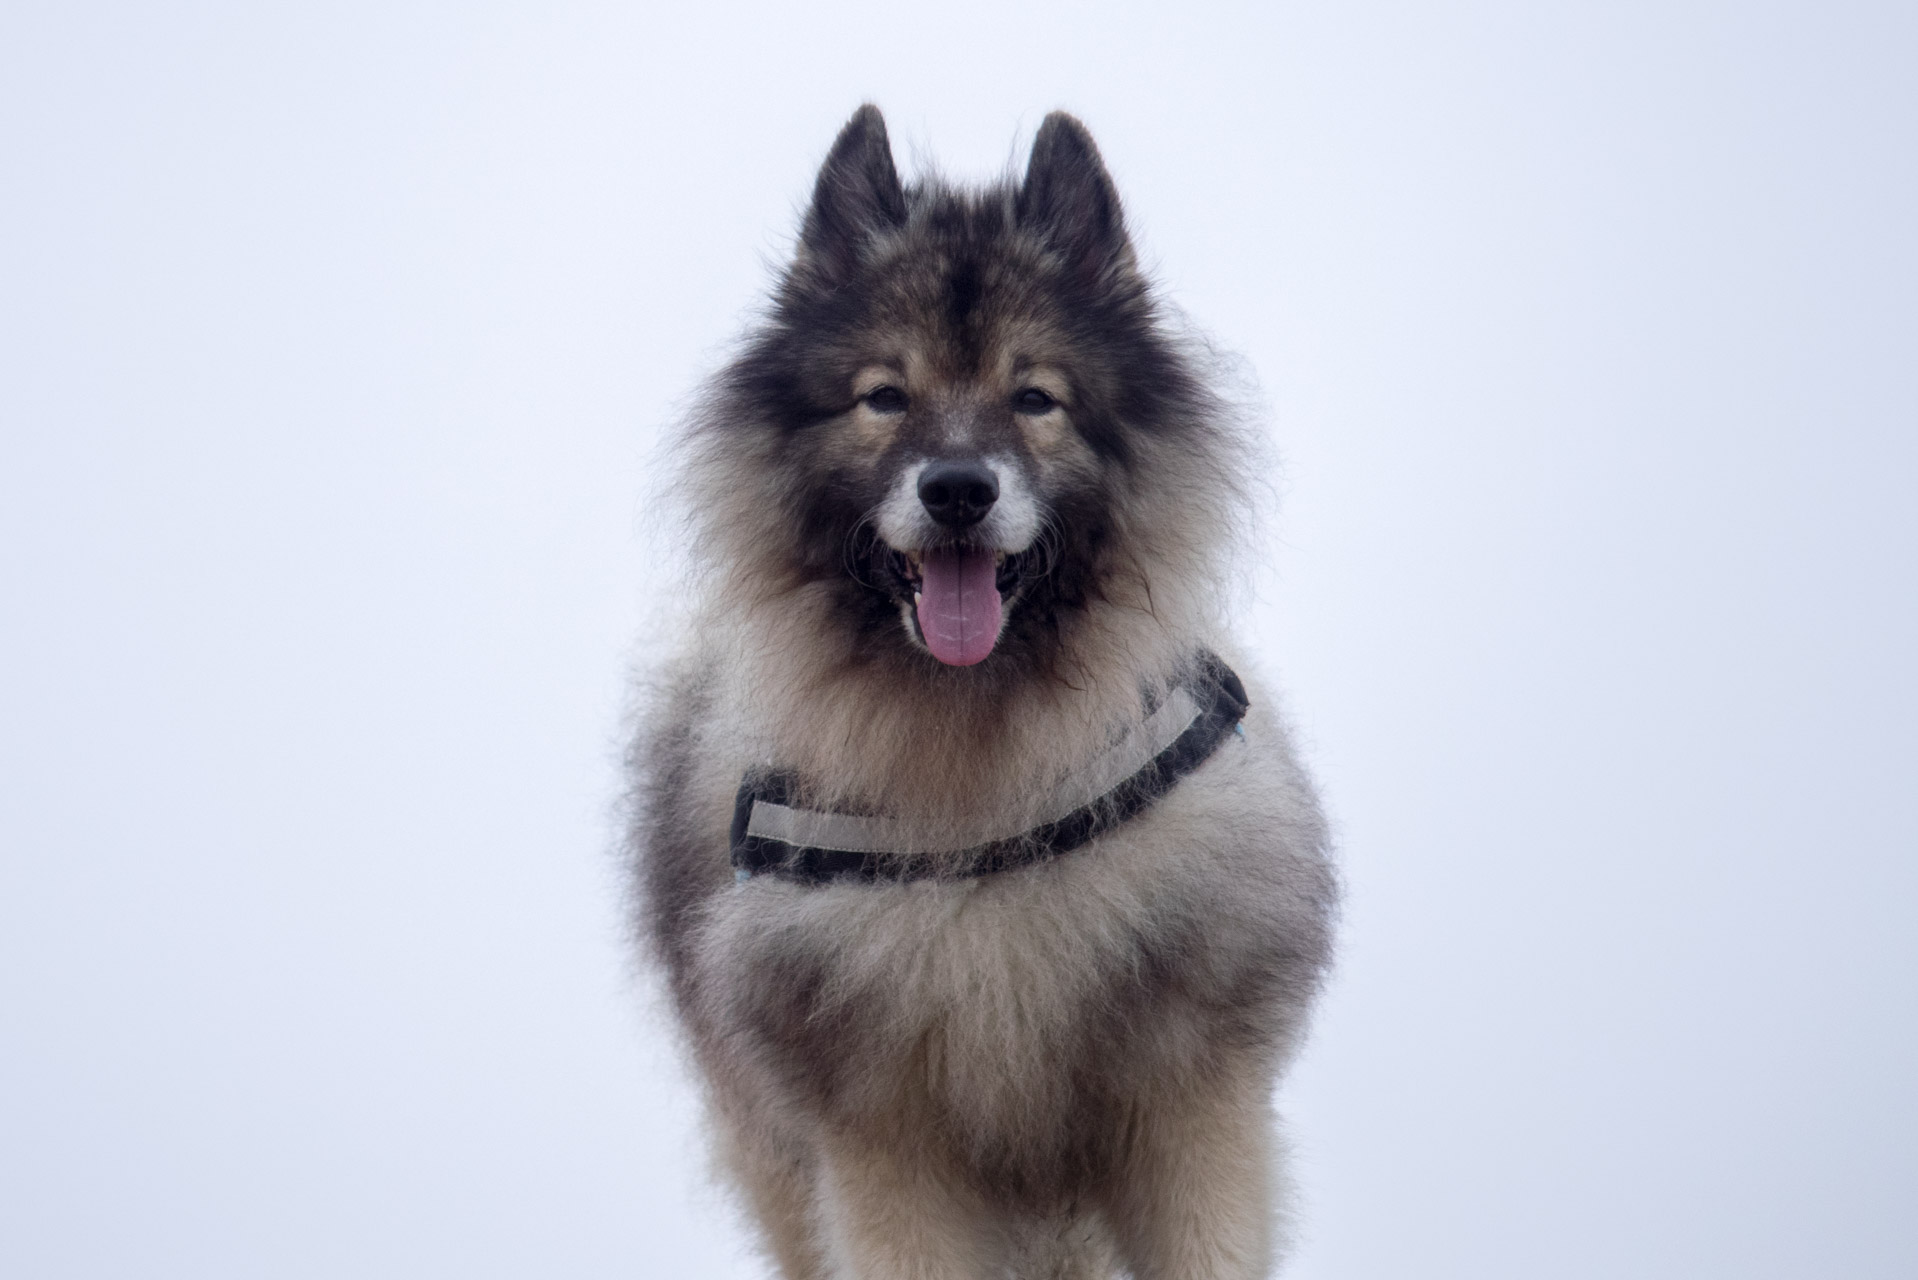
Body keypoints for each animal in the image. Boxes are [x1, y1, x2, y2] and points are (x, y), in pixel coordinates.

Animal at [629, 105, 1334, 1274]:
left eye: (1034, 397)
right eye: (884, 396)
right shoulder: (887, 1153)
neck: (980, 776)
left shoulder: (1190, 1115)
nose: (957, 488)